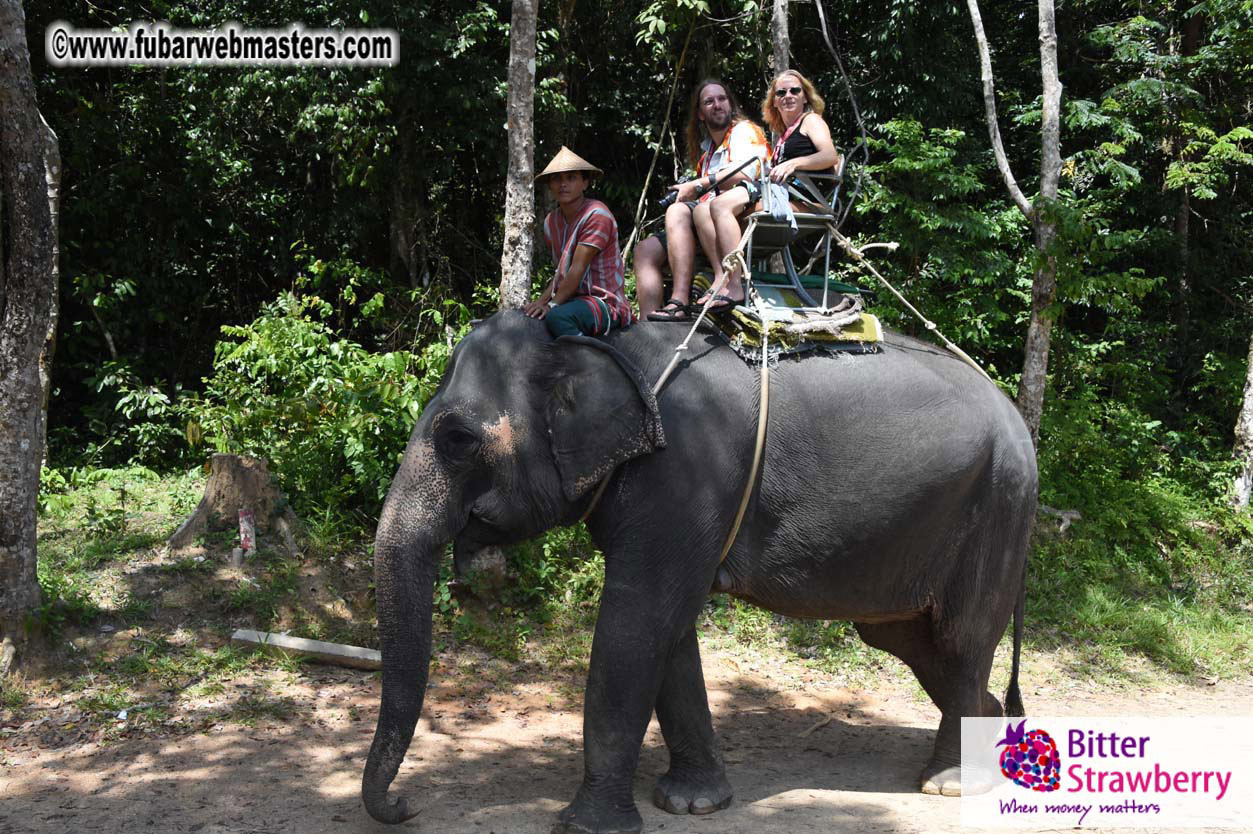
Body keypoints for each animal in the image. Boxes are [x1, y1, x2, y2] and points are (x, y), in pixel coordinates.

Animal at [361, 309, 1036, 832]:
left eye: (457, 439)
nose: (405, 805)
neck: (601, 344)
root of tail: (1022, 425)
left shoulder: (684, 472)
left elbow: (636, 621)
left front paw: (588, 825)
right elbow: (669, 632)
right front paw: (693, 802)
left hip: (998, 510)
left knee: (960, 641)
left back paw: (952, 783)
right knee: (910, 640)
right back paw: (995, 745)